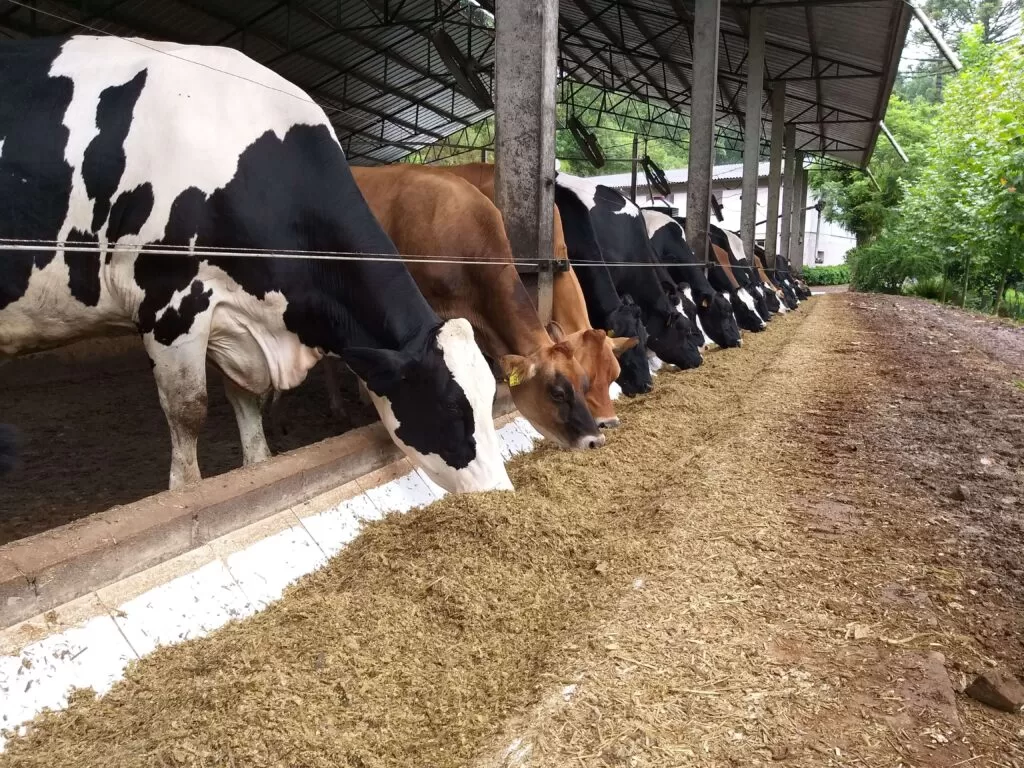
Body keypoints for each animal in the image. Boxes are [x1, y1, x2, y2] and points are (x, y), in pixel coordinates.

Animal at [0, 34, 512, 493]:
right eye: (453, 409)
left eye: (490, 396)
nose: (501, 493)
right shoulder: (170, 306)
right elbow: (189, 412)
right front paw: (185, 495)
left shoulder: (235, 322)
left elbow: (246, 409)